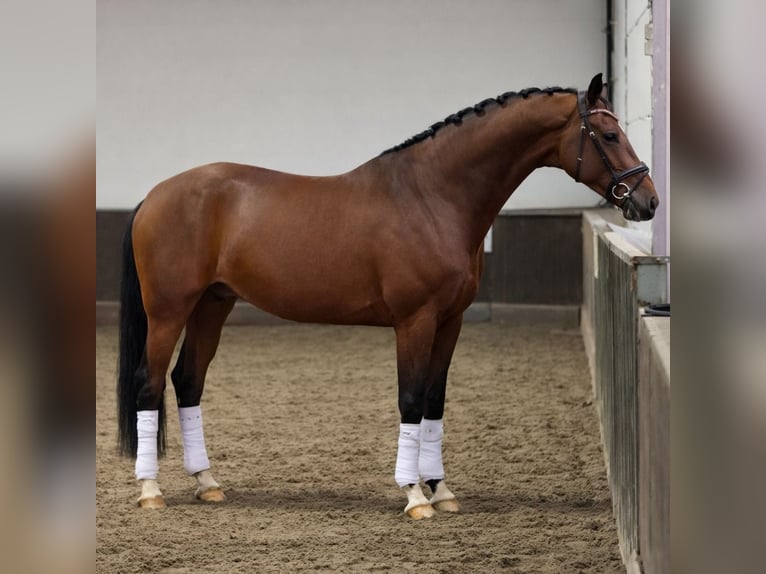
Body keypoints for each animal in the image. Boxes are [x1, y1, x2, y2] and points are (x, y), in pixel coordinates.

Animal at [116, 73, 657, 519]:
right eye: (610, 135)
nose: (647, 200)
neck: (432, 196)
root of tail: (155, 195)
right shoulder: (414, 320)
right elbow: (411, 398)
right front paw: (415, 496)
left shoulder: (451, 321)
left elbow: (435, 399)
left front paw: (442, 490)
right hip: (168, 312)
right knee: (149, 384)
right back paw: (150, 491)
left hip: (213, 305)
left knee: (187, 382)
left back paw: (207, 482)